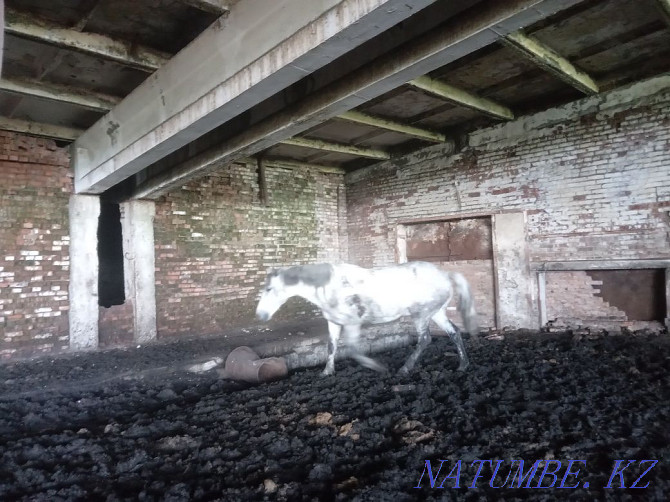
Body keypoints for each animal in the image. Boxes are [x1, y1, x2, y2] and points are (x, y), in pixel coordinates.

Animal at [255, 260, 480, 374]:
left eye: (269, 289)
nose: (260, 315)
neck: (330, 286)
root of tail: (445, 275)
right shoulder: (334, 322)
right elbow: (331, 346)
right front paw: (327, 372)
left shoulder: (352, 322)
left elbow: (354, 349)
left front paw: (377, 367)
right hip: (436, 313)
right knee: (454, 333)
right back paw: (463, 365)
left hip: (421, 314)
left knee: (425, 339)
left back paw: (404, 369)